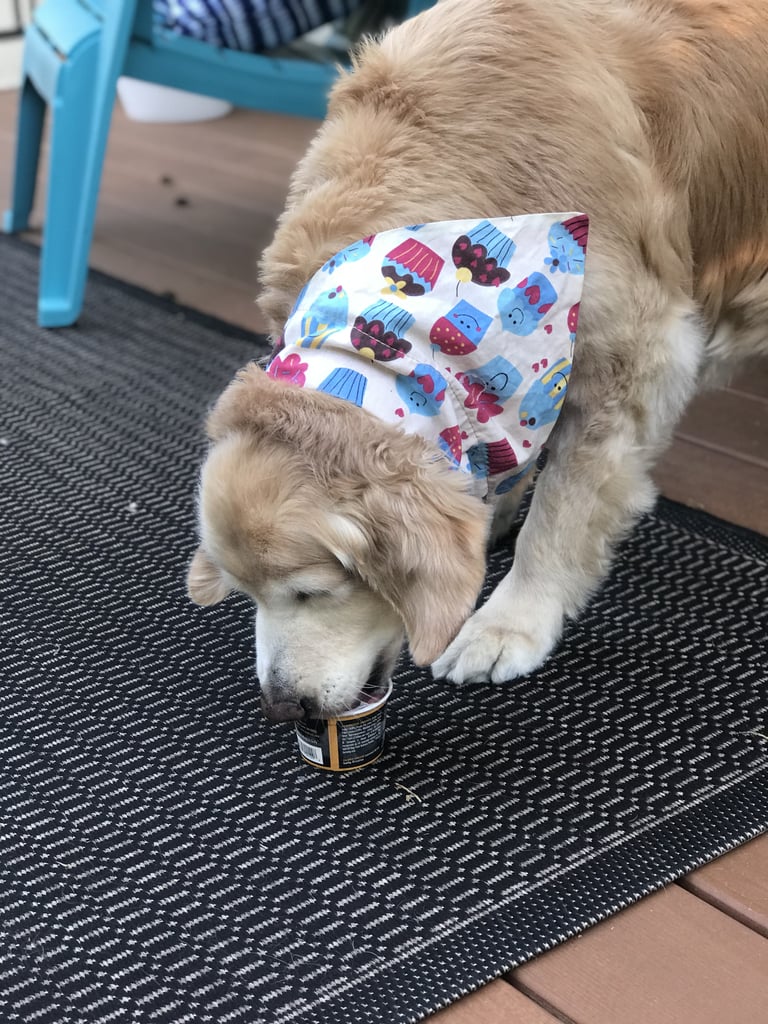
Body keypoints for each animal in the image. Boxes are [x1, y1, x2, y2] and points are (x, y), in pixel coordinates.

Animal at [188, 0, 768, 720]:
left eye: (315, 590)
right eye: (247, 592)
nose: (282, 705)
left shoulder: (635, 358)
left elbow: (561, 515)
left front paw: (509, 624)